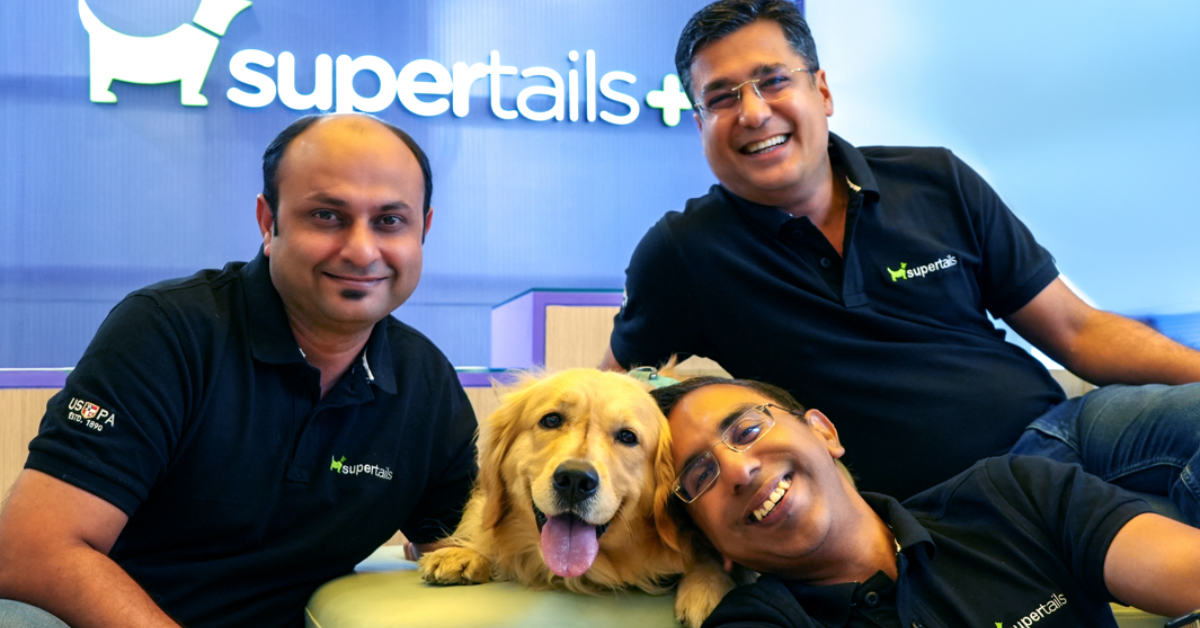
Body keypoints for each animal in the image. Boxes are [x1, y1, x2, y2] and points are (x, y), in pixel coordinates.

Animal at [78, 0, 252, 106]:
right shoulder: (194, 73)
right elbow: (191, 89)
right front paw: (196, 99)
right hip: (104, 71)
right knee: (99, 84)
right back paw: (105, 96)